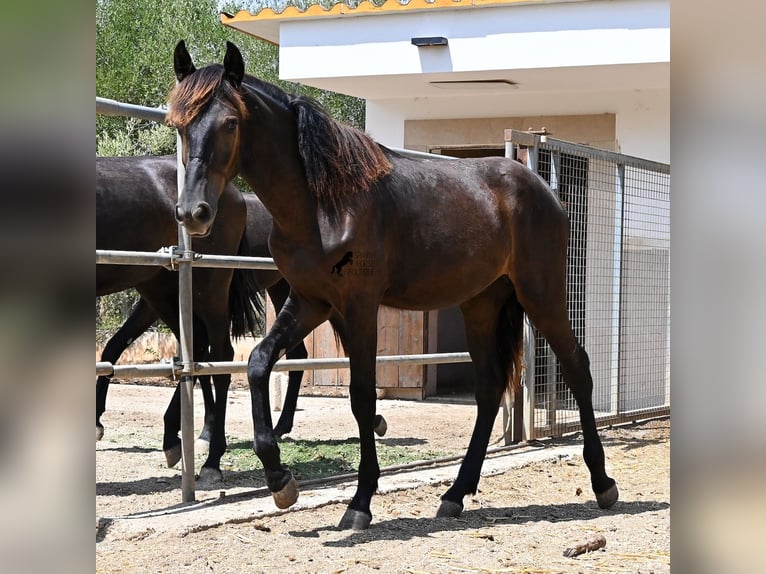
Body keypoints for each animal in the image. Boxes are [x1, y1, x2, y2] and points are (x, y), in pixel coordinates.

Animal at [167, 40, 618, 529]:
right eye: (179, 124)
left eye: (230, 123)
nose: (193, 213)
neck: (323, 204)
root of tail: (542, 189)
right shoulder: (311, 302)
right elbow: (258, 363)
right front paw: (280, 481)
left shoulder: (359, 307)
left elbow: (362, 398)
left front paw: (360, 502)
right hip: (481, 303)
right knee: (489, 388)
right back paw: (455, 494)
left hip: (541, 294)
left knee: (577, 367)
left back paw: (603, 484)